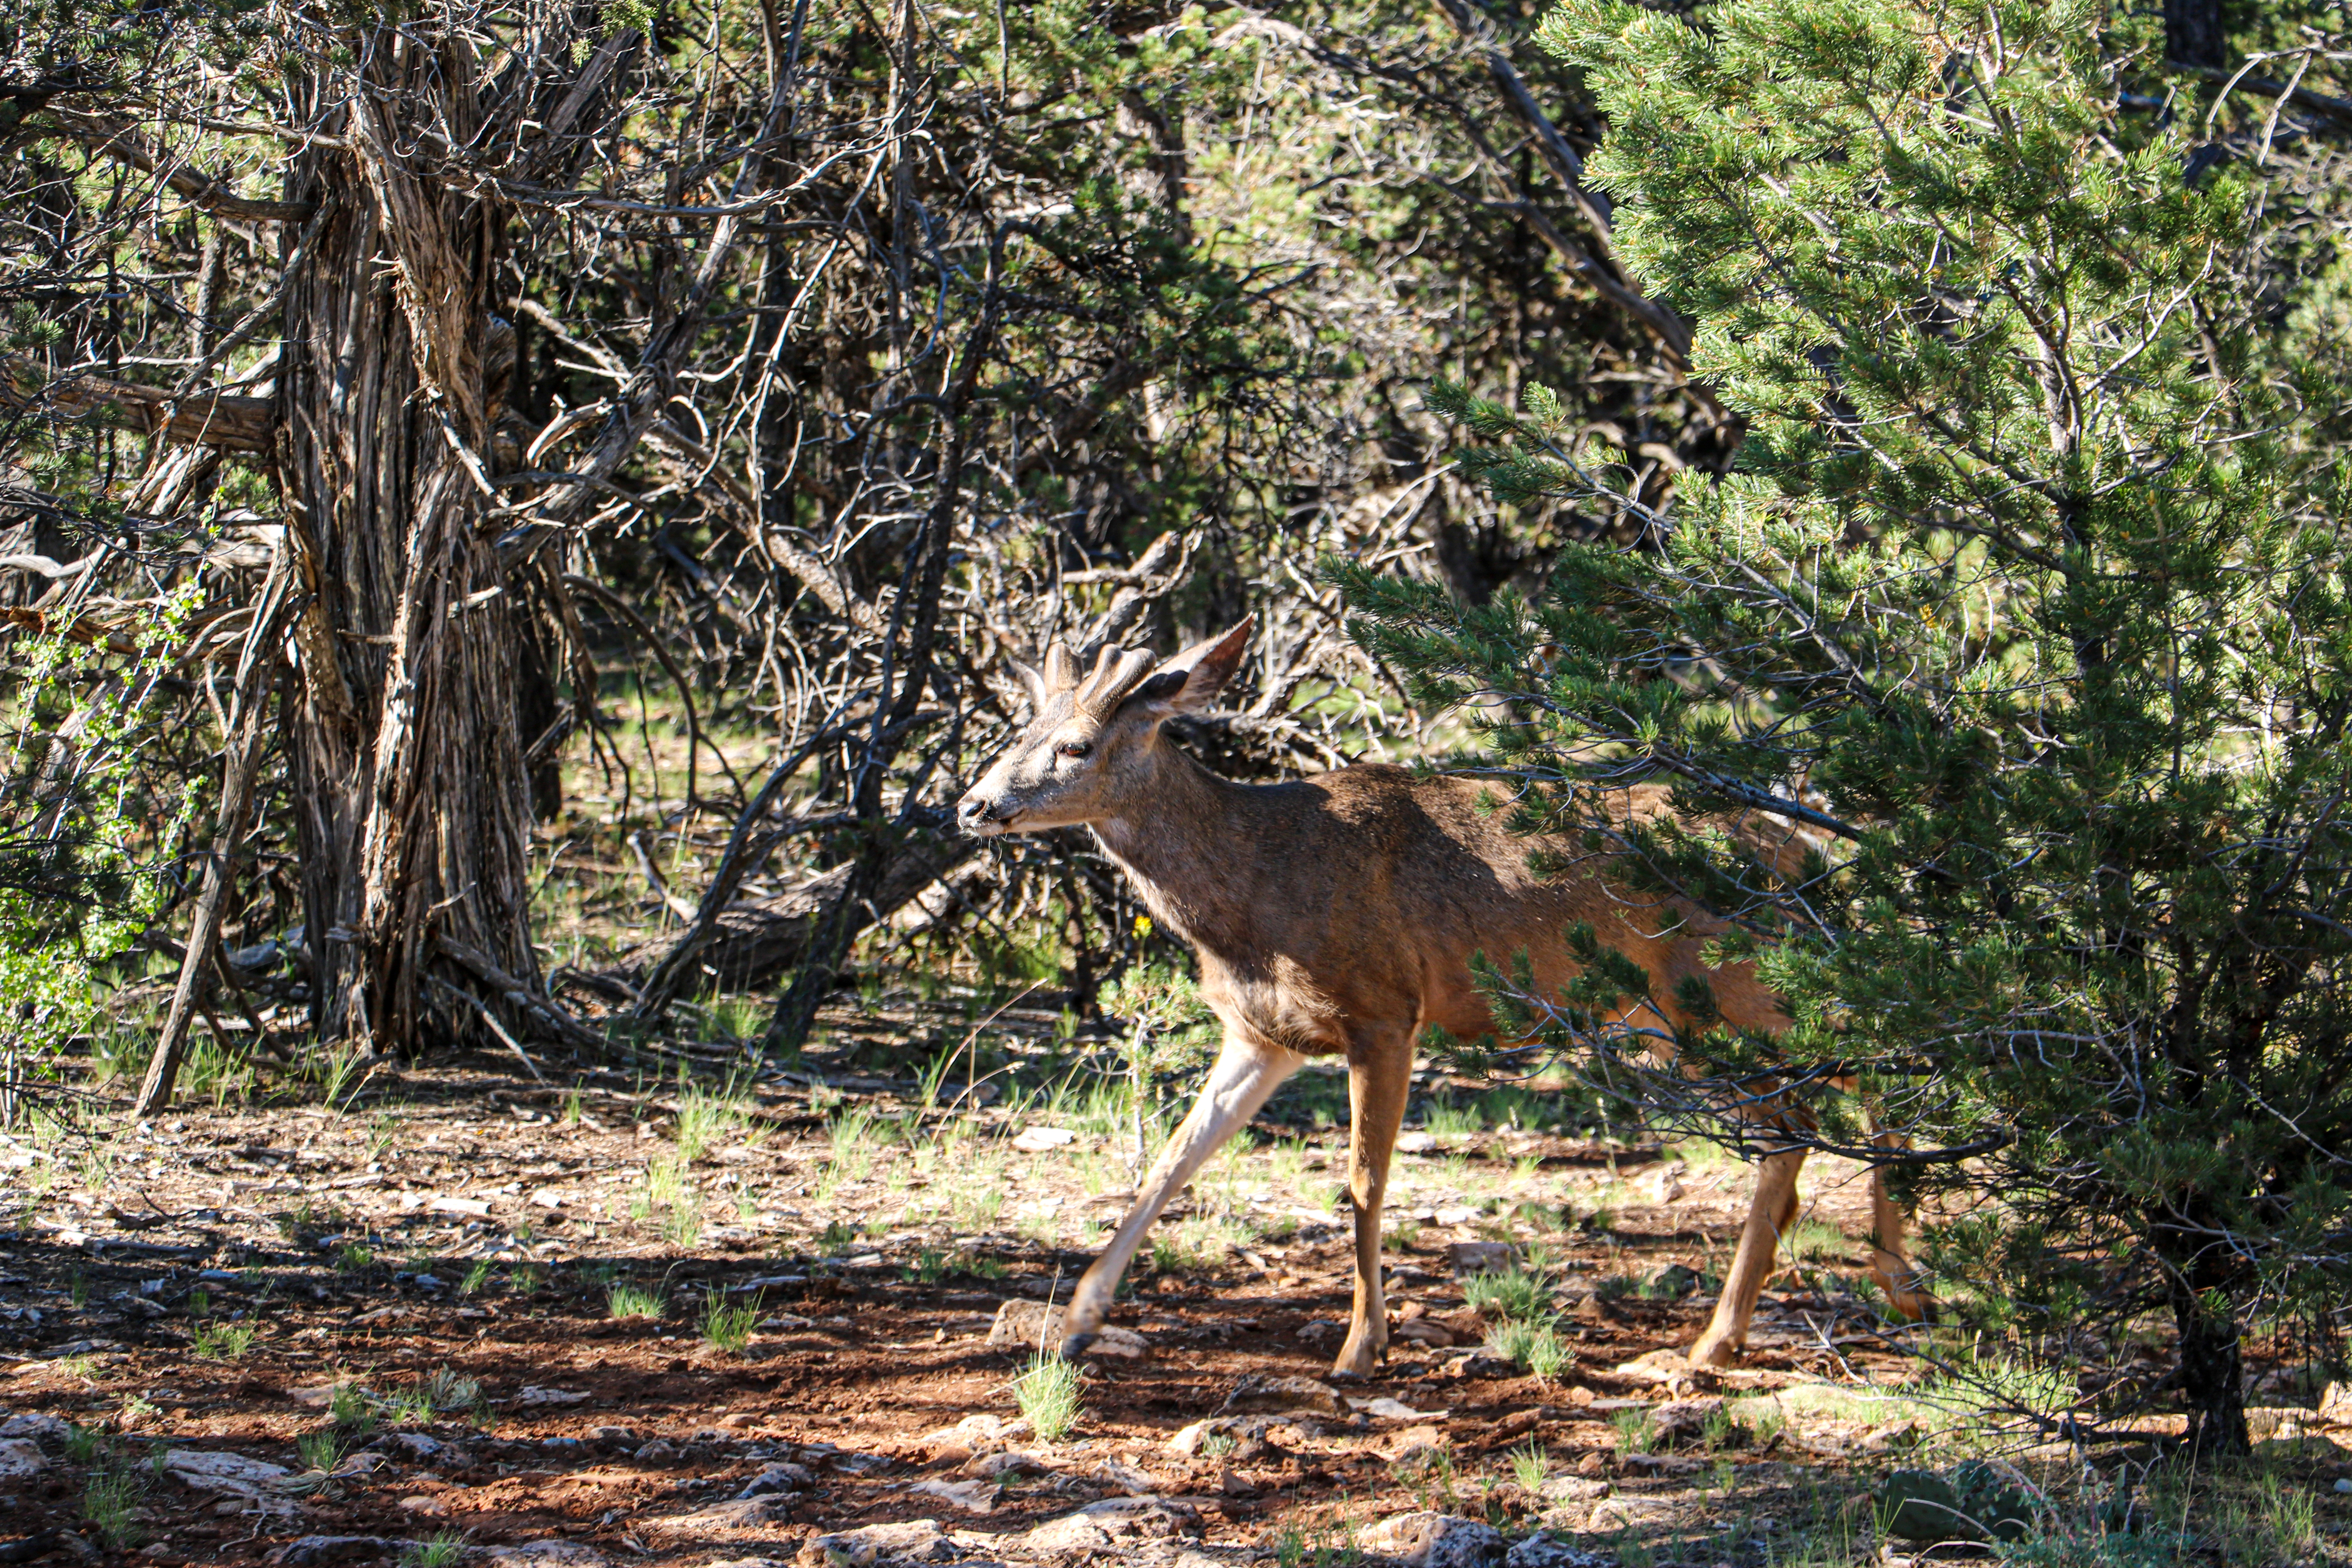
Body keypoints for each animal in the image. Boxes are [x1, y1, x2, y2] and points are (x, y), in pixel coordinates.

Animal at [955, 619, 1923, 1377]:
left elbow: (1363, 1182)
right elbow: (1172, 1160)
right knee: (1844, 1079)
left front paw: (1360, 1347)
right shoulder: (1263, 1035)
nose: (972, 804)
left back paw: (1746, 1329)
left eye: (1077, 746)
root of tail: (1802, 850)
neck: (1250, 886)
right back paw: (1876, 1287)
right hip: (1685, 1010)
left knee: (1820, 1101)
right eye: (1018, 729)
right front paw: (1075, 1321)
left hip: (1718, 988)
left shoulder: (1384, 1005)